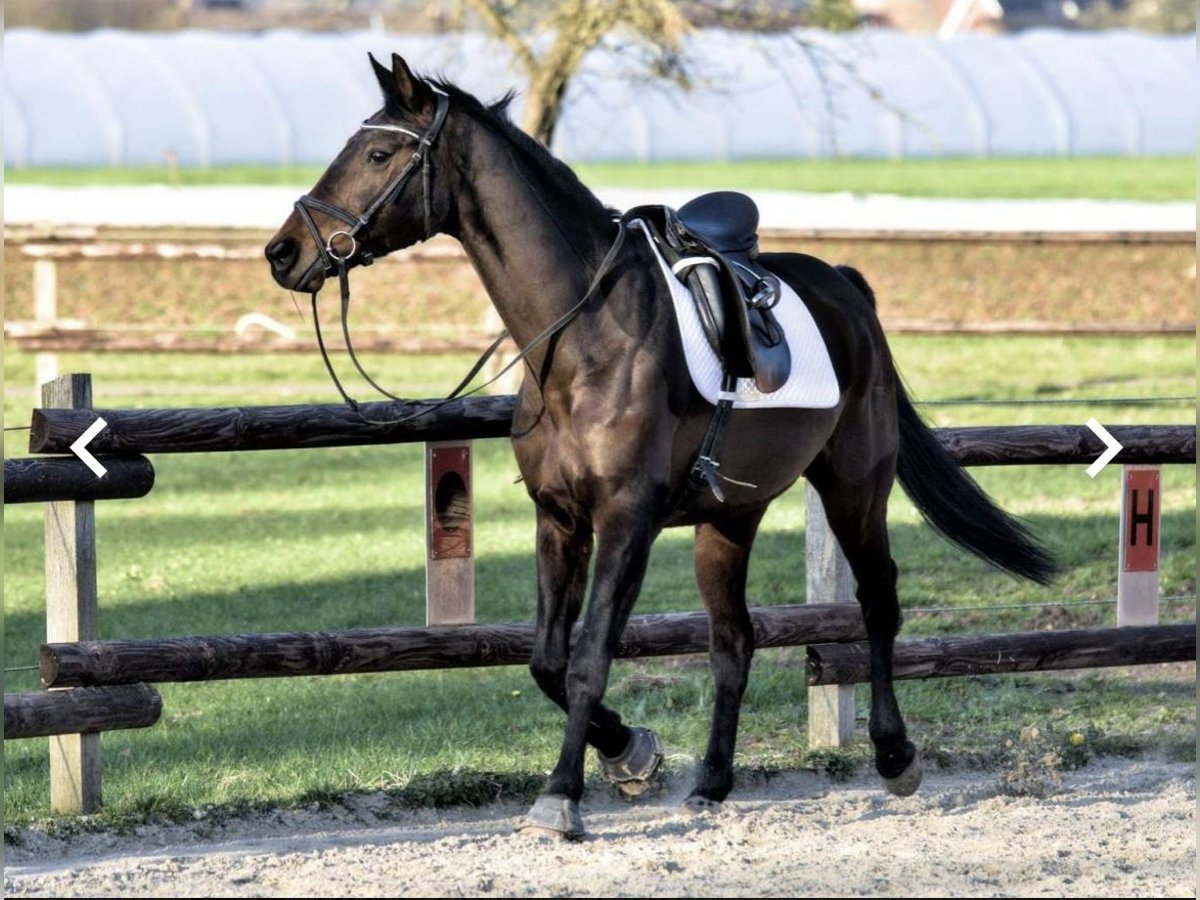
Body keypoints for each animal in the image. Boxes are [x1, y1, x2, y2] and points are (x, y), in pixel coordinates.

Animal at [262, 52, 1051, 844]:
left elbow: (587, 658)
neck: (584, 338)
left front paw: (563, 795)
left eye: (378, 154)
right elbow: (547, 660)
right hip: (730, 518)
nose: (282, 252)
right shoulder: (560, 520)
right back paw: (712, 782)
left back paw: (894, 756)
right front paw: (630, 751)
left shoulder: (625, 521)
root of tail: (849, 289)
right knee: (735, 641)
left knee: (879, 602)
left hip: (855, 487)